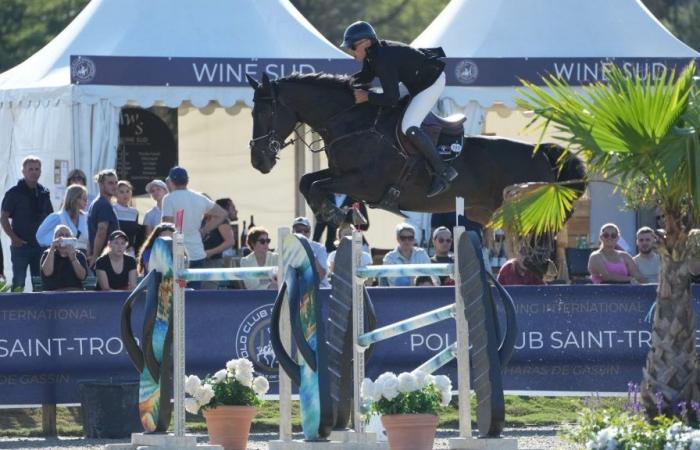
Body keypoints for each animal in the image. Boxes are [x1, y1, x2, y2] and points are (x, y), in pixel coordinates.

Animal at [246, 74, 584, 229]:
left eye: (264, 111)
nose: (258, 160)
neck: (353, 122)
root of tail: (543, 154)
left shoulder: (364, 183)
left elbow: (316, 184)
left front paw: (335, 214)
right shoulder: (342, 174)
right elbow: (307, 182)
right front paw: (335, 214)